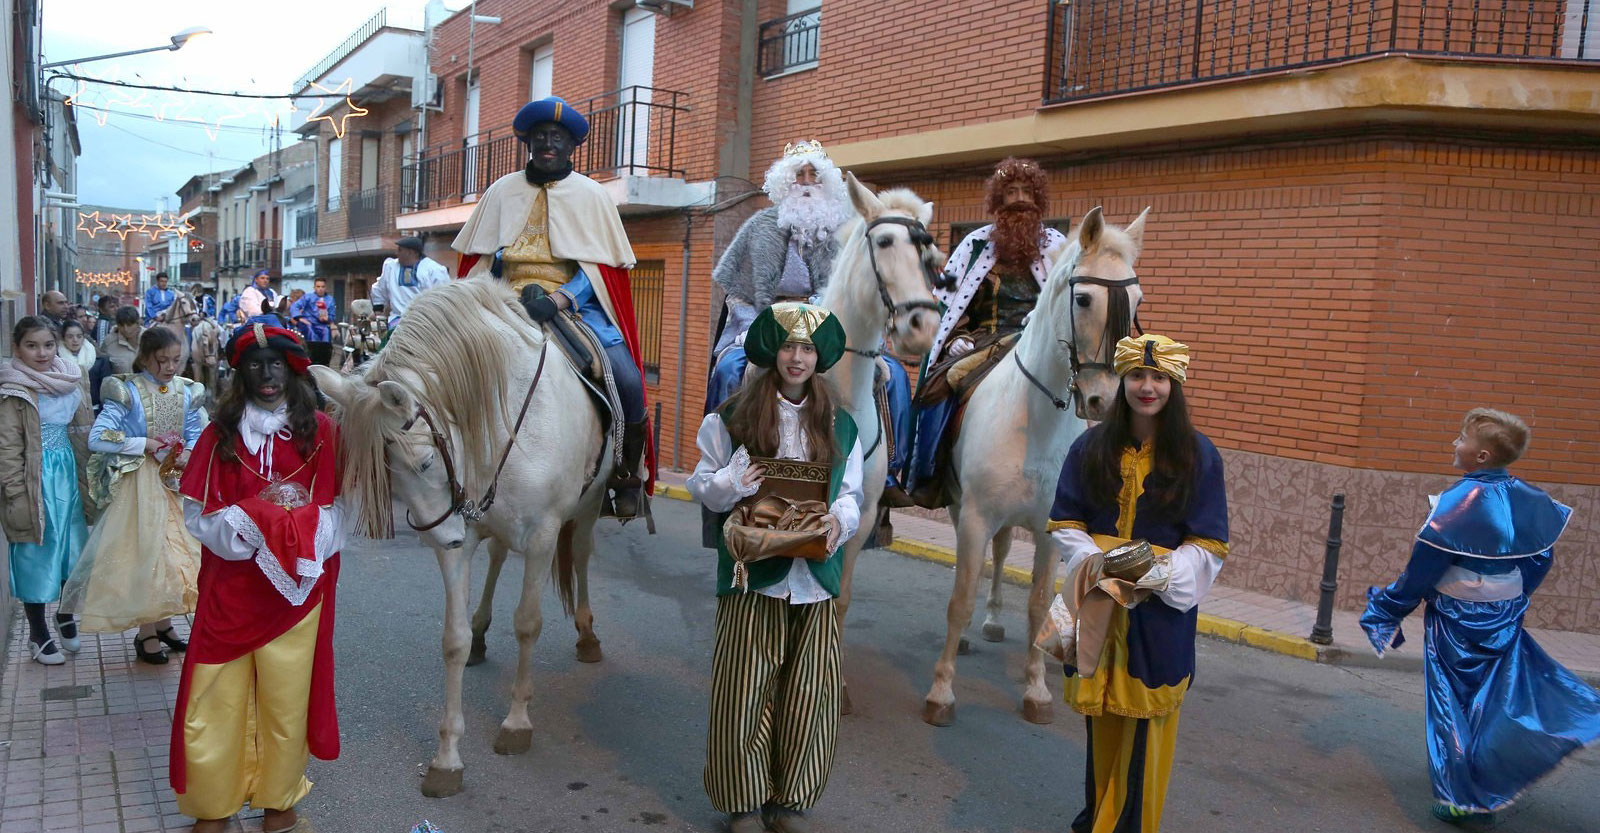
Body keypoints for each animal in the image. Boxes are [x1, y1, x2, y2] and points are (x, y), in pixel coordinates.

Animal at [312, 276, 611, 796]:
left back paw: (587, 633)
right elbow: (452, 639)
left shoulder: (543, 534)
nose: (444, 537)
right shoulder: (465, 534)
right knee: (496, 557)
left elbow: (528, 623)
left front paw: (516, 723)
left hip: (588, 508)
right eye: (388, 480)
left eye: (425, 463)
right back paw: (482, 629)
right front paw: (447, 757)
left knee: (580, 554)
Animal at [921, 204, 1145, 722]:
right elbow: (960, 598)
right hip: (962, 508)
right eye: (1082, 298)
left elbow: (1039, 606)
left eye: (1136, 300)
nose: (1104, 400)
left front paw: (1037, 690)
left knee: (1003, 555)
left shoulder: (1051, 527)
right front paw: (941, 691)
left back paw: (992, 620)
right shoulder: (976, 516)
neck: (1034, 420)